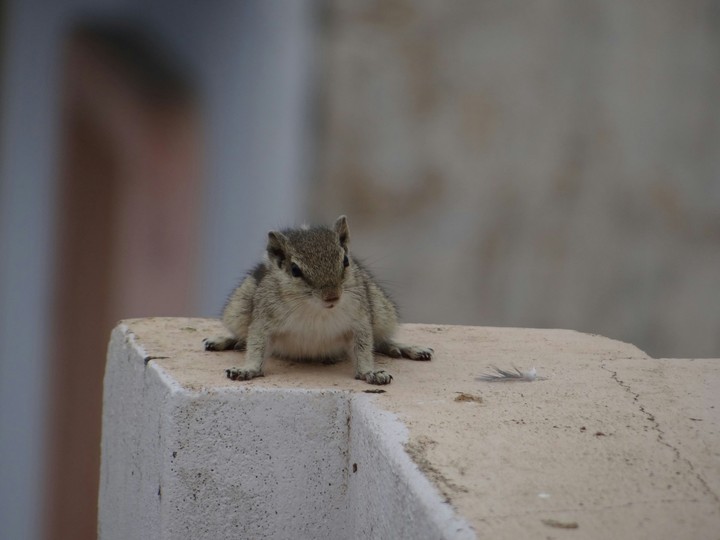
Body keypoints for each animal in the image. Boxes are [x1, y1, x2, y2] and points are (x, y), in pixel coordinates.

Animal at [203, 215, 433, 385]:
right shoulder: (262, 321)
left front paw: (370, 372)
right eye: (295, 270)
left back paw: (406, 348)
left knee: (382, 340)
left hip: (383, 313)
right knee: (242, 335)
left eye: (345, 260)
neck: (316, 309)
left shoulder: (359, 321)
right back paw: (226, 340)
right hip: (238, 309)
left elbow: (364, 348)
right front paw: (247, 369)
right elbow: (256, 347)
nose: (332, 296)